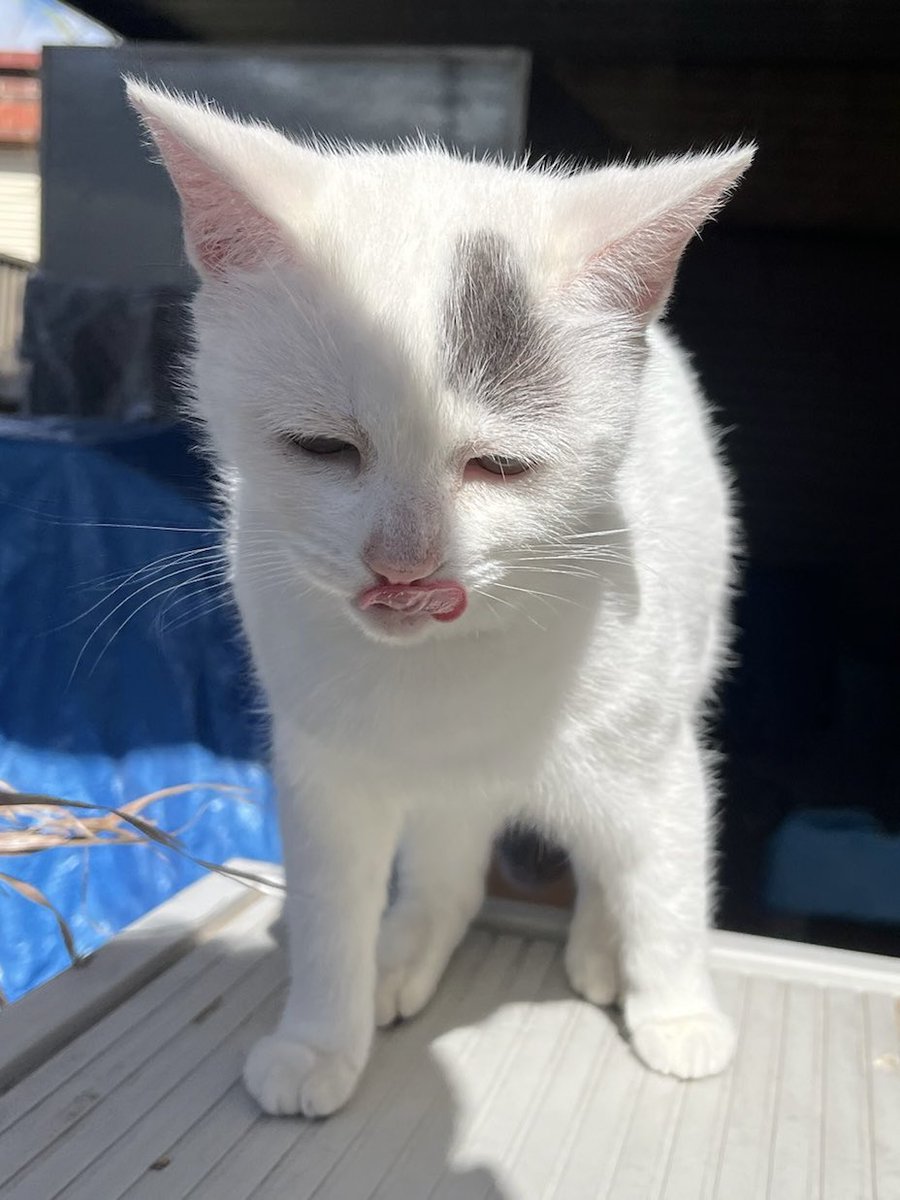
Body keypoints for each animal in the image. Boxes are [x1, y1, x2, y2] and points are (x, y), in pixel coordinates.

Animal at [128, 79, 753, 1118]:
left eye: (500, 466)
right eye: (322, 448)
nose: (404, 562)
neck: (448, 674)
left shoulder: (653, 752)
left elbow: (666, 882)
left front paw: (677, 1011)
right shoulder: (323, 770)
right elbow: (329, 910)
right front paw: (319, 1036)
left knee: (609, 860)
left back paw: (601, 950)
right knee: (452, 870)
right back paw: (402, 952)